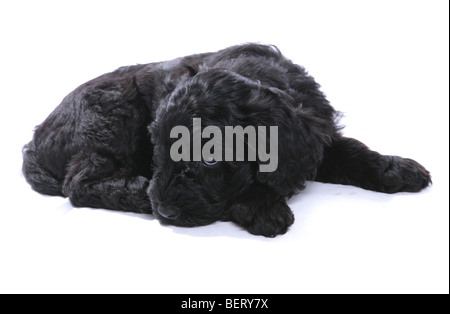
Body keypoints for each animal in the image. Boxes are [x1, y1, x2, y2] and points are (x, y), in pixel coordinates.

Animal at [22, 43, 430, 236]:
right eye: (158, 150)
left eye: (210, 158)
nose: (165, 210)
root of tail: (35, 138)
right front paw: (266, 209)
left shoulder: (318, 134)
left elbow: (355, 153)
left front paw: (400, 169)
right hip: (111, 116)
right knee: (77, 184)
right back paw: (137, 192)